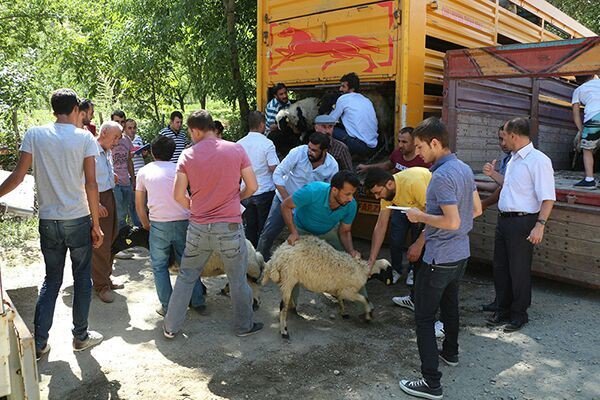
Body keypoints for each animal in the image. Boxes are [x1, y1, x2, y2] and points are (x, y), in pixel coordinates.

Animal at [262, 236, 394, 340]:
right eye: (389, 272)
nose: (392, 283)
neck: (362, 269)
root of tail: (276, 256)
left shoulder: (340, 290)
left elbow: (340, 299)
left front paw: (343, 312)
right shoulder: (349, 291)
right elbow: (364, 299)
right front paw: (368, 316)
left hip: (288, 279)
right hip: (288, 278)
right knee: (282, 307)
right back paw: (284, 331)